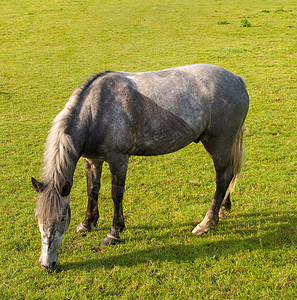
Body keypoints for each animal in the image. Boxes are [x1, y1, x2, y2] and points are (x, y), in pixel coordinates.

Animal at [30, 63, 247, 270]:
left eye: (61, 218)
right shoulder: (92, 160)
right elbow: (92, 190)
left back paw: (206, 223)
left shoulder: (118, 159)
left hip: (219, 145)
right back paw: (220, 212)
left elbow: (116, 194)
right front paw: (87, 223)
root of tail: (237, 79)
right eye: (38, 217)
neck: (95, 111)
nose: (46, 264)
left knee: (222, 179)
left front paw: (114, 233)